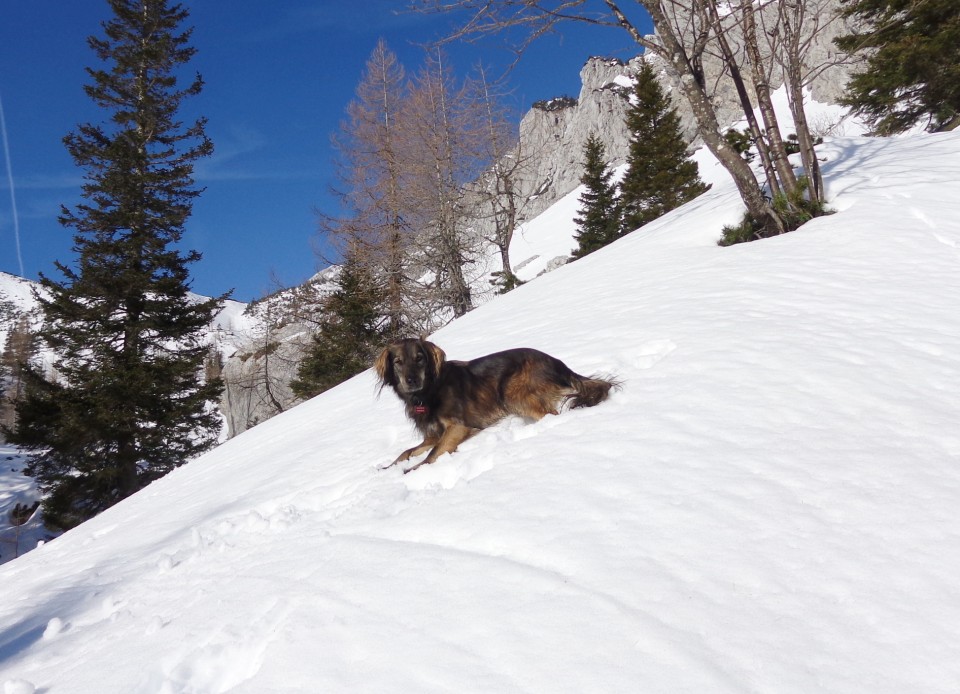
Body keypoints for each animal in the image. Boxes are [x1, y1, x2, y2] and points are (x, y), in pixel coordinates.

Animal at [376, 338, 616, 474]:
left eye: (420, 359)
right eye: (398, 362)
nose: (412, 381)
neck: (428, 392)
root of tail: (559, 364)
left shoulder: (458, 427)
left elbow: (432, 454)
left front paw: (412, 470)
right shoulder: (432, 435)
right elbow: (406, 452)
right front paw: (386, 467)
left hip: (511, 391)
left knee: (551, 414)